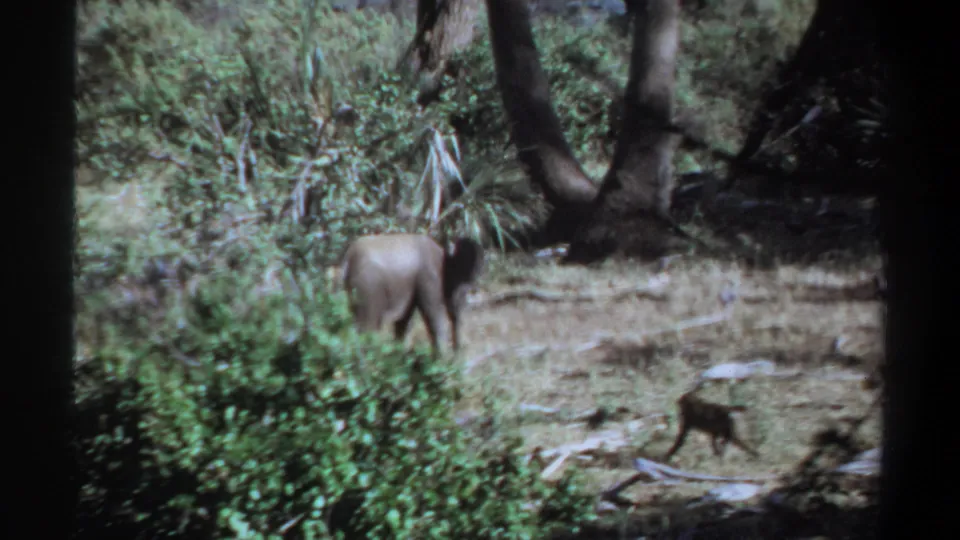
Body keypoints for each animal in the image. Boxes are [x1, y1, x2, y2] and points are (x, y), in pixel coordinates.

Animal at [341, 233, 484, 356]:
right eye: (463, 291)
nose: (460, 352)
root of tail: (348, 260)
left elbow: (404, 321)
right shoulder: (428, 278)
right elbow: (434, 315)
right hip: (369, 289)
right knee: (368, 327)